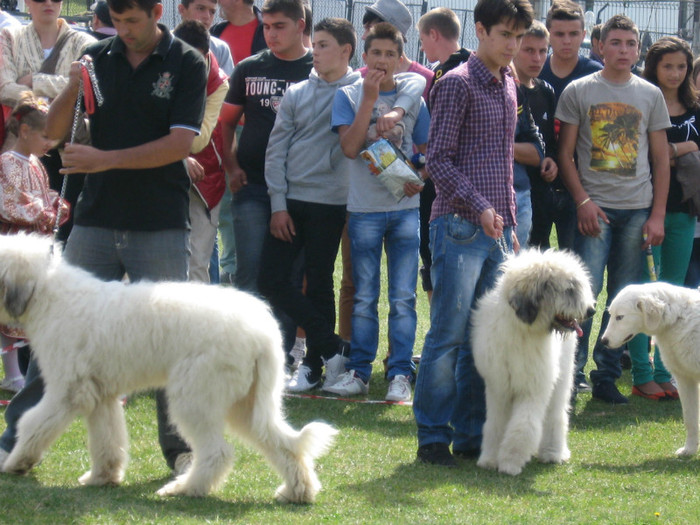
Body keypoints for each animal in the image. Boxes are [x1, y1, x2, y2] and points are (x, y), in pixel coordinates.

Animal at [0, 232, 336, 500]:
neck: (48, 295)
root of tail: (263, 332)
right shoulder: (100, 395)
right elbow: (107, 441)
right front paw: (102, 477)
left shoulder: (67, 391)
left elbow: (32, 422)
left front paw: (16, 463)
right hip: (247, 402)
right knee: (283, 443)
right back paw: (297, 492)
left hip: (196, 396)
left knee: (217, 453)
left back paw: (185, 488)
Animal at [470, 249, 596, 474]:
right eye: (569, 289)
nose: (591, 310)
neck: (523, 330)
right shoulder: (498, 387)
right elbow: (495, 424)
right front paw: (490, 458)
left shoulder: (534, 387)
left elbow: (524, 425)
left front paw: (510, 461)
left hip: (562, 377)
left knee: (556, 415)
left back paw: (553, 453)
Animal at [600, 280, 700, 456]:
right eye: (611, 315)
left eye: (620, 317)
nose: (603, 341)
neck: (678, 319)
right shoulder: (685, 379)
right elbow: (690, 419)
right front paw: (689, 450)